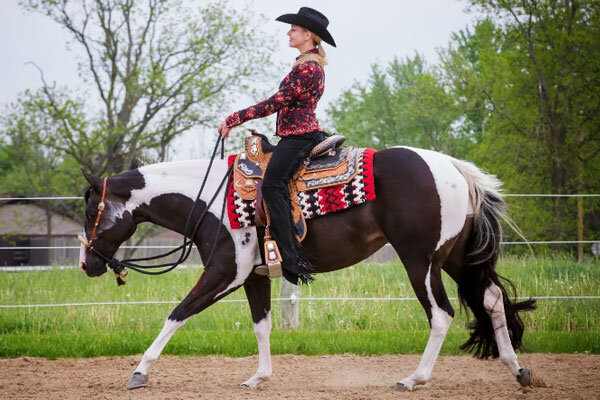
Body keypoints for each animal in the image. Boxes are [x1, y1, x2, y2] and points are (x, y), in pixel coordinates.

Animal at [78, 145, 536, 390]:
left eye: (88, 211)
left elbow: (177, 314)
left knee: (441, 313)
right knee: (492, 299)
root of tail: (452, 168)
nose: (86, 264)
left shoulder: (225, 273)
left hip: (420, 261)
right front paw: (259, 378)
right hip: (455, 258)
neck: (212, 199)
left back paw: (414, 378)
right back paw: (517, 369)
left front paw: (139, 372)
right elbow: (261, 326)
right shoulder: (254, 277)